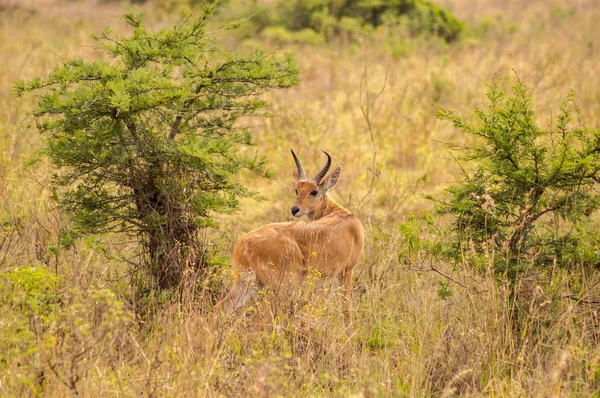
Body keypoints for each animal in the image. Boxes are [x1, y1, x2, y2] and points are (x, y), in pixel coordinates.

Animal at [223, 149, 364, 320]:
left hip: (248, 282)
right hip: (280, 286)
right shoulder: (347, 271)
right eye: (297, 190)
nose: (294, 209)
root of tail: (245, 243)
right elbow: (347, 309)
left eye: (314, 191)